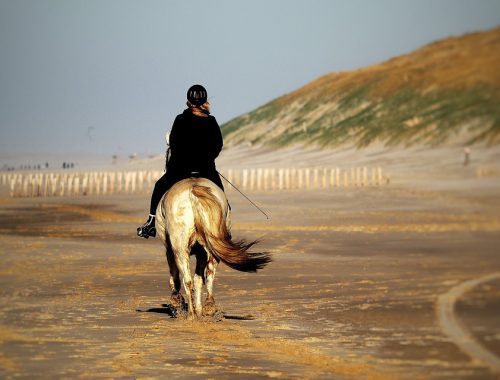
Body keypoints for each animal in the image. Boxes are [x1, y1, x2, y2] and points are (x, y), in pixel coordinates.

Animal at [156, 177, 274, 320]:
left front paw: (177, 303)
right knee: (209, 274)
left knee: (187, 280)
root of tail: (193, 188)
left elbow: (175, 277)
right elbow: (199, 279)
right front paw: (199, 309)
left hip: (180, 248)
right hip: (210, 245)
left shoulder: (169, 250)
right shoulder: (201, 253)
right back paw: (208, 308)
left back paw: (191, 314)